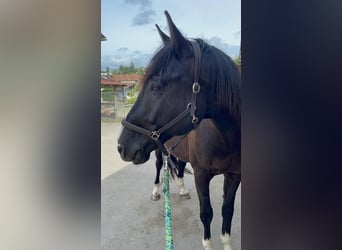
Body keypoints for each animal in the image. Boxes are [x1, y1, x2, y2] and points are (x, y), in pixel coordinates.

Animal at [117, 10, 240, 249]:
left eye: (156, 87)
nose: (121, 146)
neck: (226, 139)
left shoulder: (234, 175)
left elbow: (227, 211)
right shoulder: (201, 174)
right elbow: (206, 214)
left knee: (181, 166)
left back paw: (182, 190)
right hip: (158, 150)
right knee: (158, 168)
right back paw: (156, 191)